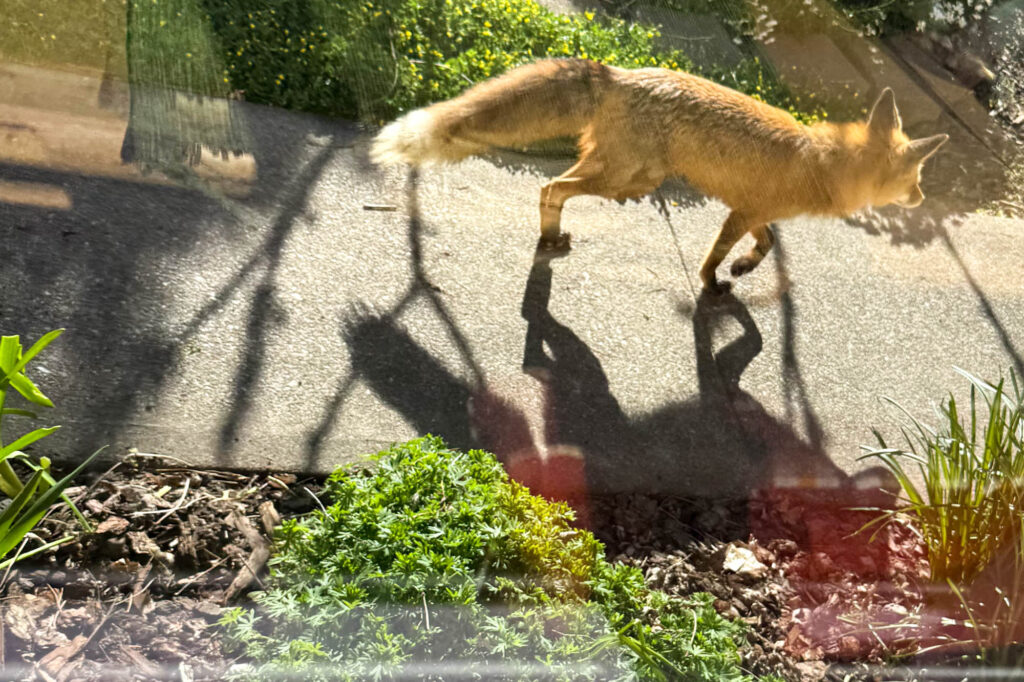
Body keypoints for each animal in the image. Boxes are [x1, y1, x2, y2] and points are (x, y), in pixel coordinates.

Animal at [370, 58, 948, 293]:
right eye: (915, 178)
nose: (923, 198)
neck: (821, 162)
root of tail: (619, 73)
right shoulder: (742, 211)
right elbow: (715, 256)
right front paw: (714, 283)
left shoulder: (753, 209)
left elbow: (767, 245)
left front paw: (743, 268)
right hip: (626, 180)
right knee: (552, 186)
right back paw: (550, 240)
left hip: (619, 173)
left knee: (550, 186)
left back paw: (550, 238)